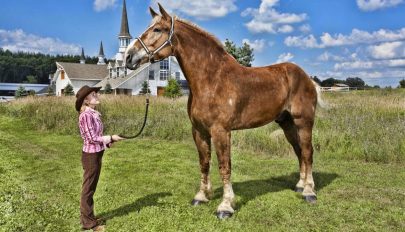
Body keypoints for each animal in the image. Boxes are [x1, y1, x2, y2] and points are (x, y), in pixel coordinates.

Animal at [124, 3, 320, 219]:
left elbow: (224, 166)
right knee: (299, 151)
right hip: (287, 123)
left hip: (304, 122)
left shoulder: (221, 131)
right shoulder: (199, 131)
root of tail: (306, 78)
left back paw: (309, 192)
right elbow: (204, 163)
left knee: (307, 152)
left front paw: (225, 206)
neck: (212, 80)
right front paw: (201, 196)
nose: (128, 57)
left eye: (158, 29)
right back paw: (300, 185)